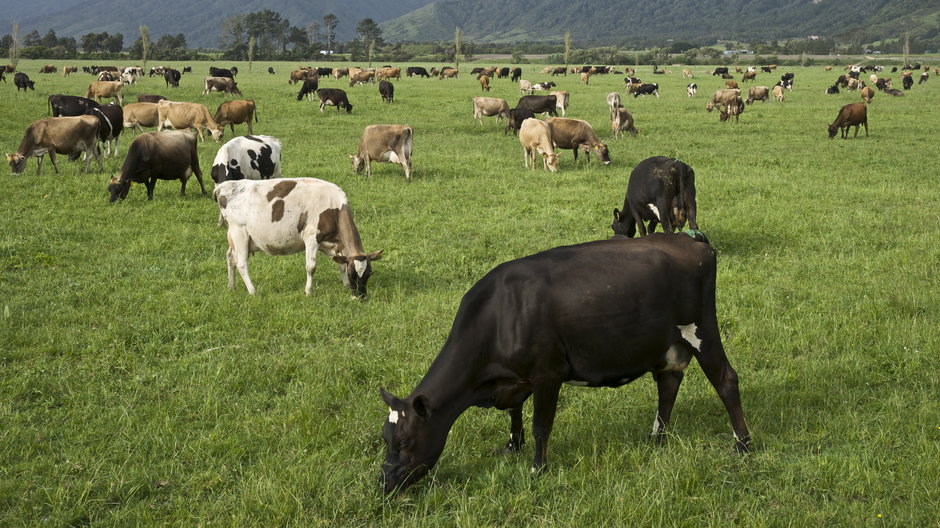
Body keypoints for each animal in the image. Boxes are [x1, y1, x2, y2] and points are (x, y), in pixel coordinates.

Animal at [215, 177, 384, 300]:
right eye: (352, 274)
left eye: (369, 274)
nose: (361, 298)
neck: (334, 207)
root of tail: (224, 186)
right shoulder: (311, 238)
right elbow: (311, 267)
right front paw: (308, 292)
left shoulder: (330, 244)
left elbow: (340, 263)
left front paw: (346, 285)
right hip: (240, 233)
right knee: (241, 264)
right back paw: (252, 290)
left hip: (234, 238)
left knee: (230, 257)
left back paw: (232, 286)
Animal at [378, 232, 752, 496]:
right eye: (385, 438)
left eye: (405, 442)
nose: (384, 483)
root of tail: (689, 239)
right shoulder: (516, 379)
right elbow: (514, 413)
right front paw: (512, 446)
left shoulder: (548, 374)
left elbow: (541, 425)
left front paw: (537, 469)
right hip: (668, 344)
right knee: (668, 384)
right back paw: (656, 438)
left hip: (702, 330)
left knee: (726, 381)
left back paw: (743, 445)